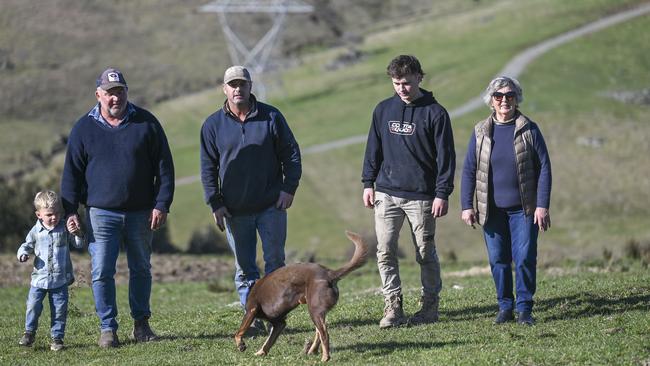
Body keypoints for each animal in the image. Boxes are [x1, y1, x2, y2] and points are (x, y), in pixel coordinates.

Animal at [233, 230, 368, 362]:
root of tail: (329, 274)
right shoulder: (279, 323)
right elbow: (269, 341)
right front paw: (261, 352)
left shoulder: (251, 311)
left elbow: (238, 332)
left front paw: (241, 345)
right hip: (316, 311)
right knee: (319, 332)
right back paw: (312, 350)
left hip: (314, 310)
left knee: (324, 334)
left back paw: (325, 357)